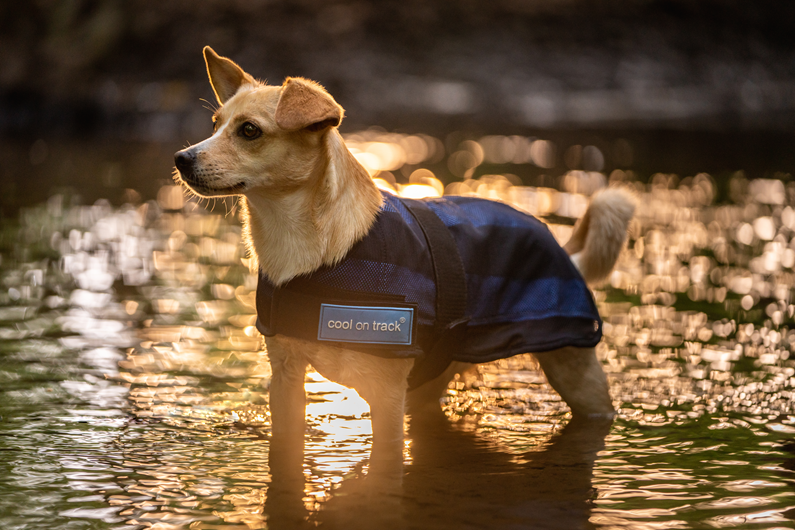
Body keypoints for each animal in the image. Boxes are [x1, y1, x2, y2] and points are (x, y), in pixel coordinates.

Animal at [176, 46, 636, 450]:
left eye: (249, 131)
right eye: (215, 125)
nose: (182, 157)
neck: (309, 251)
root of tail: (565, 251)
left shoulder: (385, 397)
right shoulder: (287, 381)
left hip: (577, 373)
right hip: (435, 376)